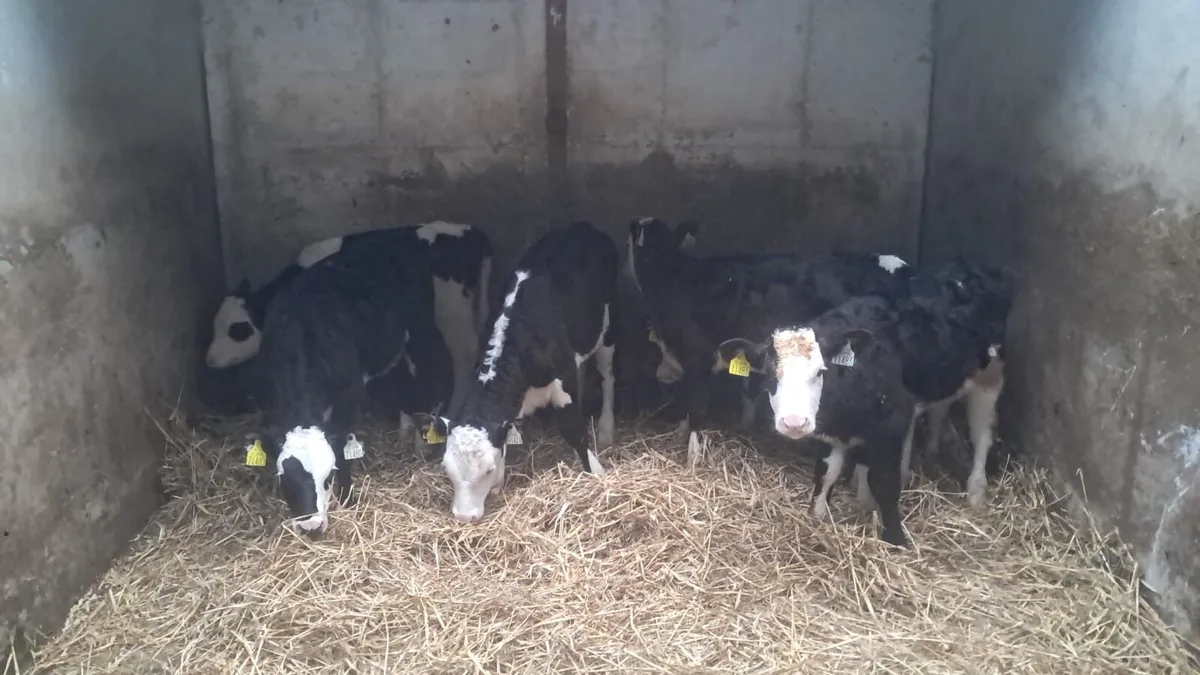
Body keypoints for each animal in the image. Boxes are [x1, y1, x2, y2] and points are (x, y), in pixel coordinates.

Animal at [205, 221, 492, 417]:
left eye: (238, 330)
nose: (209, 360)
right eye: (214, 325)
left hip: (452, 310)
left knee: (464, 356)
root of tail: (471, 231)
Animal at [253, 241, 444, 535]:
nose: (311, 527)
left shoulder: (350, 397)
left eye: (327, 477)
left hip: (417, 331)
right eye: (284, 479)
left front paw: (348, 498)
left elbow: (343, 451)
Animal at [416, 222, 618, 524]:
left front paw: (595, 470)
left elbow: (574, 430)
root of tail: (582, 227)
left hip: (609, 326)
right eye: (446, 468)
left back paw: (606, 428)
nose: (464, 516)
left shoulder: (562, 378)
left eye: (486, 470)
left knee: (607, 376)